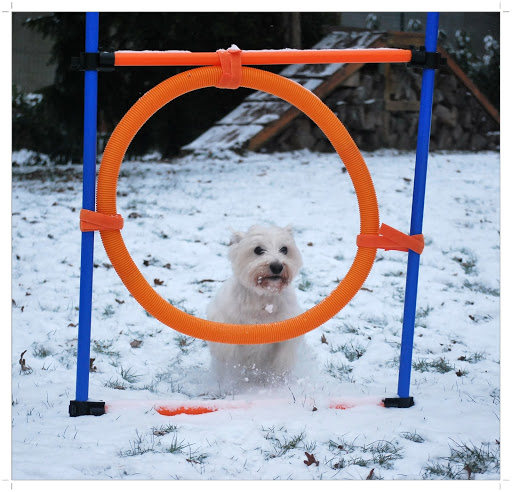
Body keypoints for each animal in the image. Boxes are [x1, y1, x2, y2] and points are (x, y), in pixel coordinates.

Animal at [207, 224, 304, 384]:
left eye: (284, 249)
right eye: (258, 249)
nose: (277, 267)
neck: (263, 299)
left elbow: (282, 357)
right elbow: (227, 349)